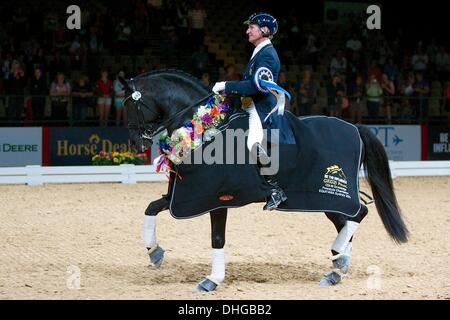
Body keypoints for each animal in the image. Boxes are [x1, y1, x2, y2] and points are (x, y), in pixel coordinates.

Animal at [121, 70, 410, 292]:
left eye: (129, 106)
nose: (136, 143)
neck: (203, 127)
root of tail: (355, 128)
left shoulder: (216, 198)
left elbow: (217, 238)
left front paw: (211, 280)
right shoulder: (178, 196)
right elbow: (150, 209)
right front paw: (154, 252)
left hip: (329, 193)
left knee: (358, 213)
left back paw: (338, 262)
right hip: (326, 199)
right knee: (346, 222)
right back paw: (338, 267)